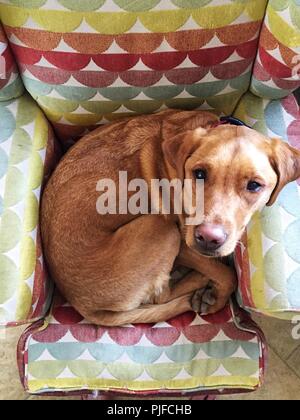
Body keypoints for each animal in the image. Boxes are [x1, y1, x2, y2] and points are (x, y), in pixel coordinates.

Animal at [40, 110, 300, 326]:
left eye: (254, 185)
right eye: (199, 174)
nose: (208, 238)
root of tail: (80, 304)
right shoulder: (185, 244)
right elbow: (227, 276)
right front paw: (216, 298)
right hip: (161, 227)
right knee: (161, 298)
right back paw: (196, 281)